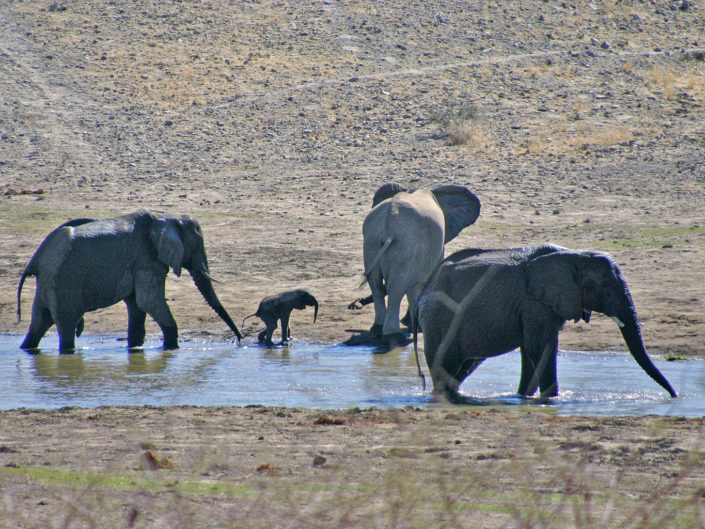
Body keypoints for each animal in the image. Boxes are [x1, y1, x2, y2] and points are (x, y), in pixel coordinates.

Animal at [17, 210, 243, 352]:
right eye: (196, 247)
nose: (240, 340)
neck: (165, 217)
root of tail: (36, 260)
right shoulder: (147, 259)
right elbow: (149, 301)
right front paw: (172, 348)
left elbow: (137, 306)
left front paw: (135, 348)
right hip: (64, 281)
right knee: (65, 326)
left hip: (49, 284)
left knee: (39, 323)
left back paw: (27, 348)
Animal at [361, 182, 481, 343]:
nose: (359, 302)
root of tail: (389, 226)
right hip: (406, 245)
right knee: (397, 289)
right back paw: (394, 337)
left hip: (372, 242)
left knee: (376, 285)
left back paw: (377, 331)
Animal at [415, 245, 677, 400]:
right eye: (605, 285)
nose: (674, 396)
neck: (573, 256)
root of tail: (425, 289)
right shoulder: (535, 302)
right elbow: (541, 348)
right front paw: (550, 400)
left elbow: (530, 351)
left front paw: (523, 398)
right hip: (439, 318)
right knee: (446, 366)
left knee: (463, 367)